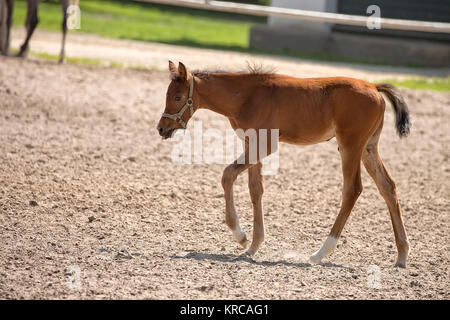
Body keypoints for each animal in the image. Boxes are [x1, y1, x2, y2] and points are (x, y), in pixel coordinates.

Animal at [157, 60, 412, 268]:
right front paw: (253, 245)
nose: (161, 128)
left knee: (352, 190)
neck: (245, 96)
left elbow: (227, 175)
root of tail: (375, 87)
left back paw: (320, 253)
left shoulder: (265, 145)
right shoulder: (252, 143)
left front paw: (241, 236)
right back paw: (401, 255)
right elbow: (255, 190)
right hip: (368, 148)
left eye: (177, 97)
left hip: (350, 146)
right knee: (388, 187)